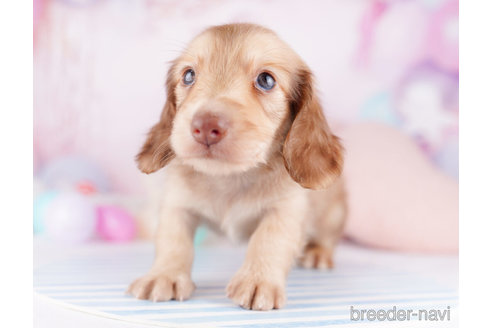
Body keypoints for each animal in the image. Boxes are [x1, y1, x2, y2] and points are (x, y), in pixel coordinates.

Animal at [129, 23, 348, 310]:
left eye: (266, 80)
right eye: (188, 76)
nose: (205, 127)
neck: (230, 178)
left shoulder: (286, 210)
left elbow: (269, 241)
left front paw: (258, 281)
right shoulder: (177, 204)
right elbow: (173, 240)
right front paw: (164, 275)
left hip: (332, 216)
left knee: (327, 237)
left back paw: (318, 252)